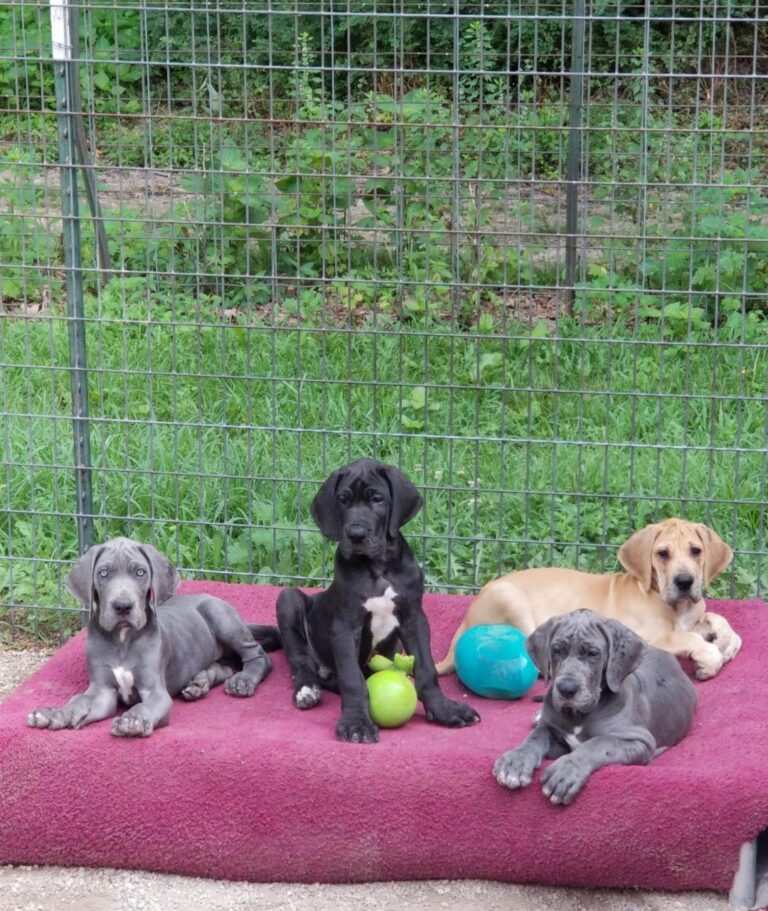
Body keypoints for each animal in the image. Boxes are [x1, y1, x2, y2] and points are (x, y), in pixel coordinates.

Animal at [27, 536, 280, 736]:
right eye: (103, 573)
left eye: (140, 573)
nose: (122, 606)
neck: (122, 639)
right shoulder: (102, 692)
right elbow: (79, 701)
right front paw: (56, 713)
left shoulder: (156, 691)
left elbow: (144, 706)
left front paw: (133, 720)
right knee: (226, 665)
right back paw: (200, 682)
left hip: (220, 616)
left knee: (258, 655)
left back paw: (243, 680)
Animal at [276, 460, 480, 744]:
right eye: (343, 500)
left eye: (377, 499)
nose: (356, 534)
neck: (378, 567)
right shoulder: (345, 626)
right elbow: (352, 679)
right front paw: (356, 723)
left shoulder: (414, 618)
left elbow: (426, 668)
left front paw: (443, 709)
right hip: (288, 599)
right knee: (302, 661)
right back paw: (307, 689)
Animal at [438, 520, 744, 676]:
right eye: (662, 554)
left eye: (696, 551)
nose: (684, 582)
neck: (672, 605)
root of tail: (463, 625)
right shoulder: (642, 638)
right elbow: (681, 637)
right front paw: (709, 656)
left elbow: (716, 618)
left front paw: (726, 641)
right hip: (509, 599)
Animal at [492, 608, 696, 808]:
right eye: (556, 650)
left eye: (592, 653)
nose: (566, 688)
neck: (578, 716)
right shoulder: (557, 735)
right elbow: (537, 735)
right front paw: (516, 760)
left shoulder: (640, 741)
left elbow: (600, 743)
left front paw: (567, 769)